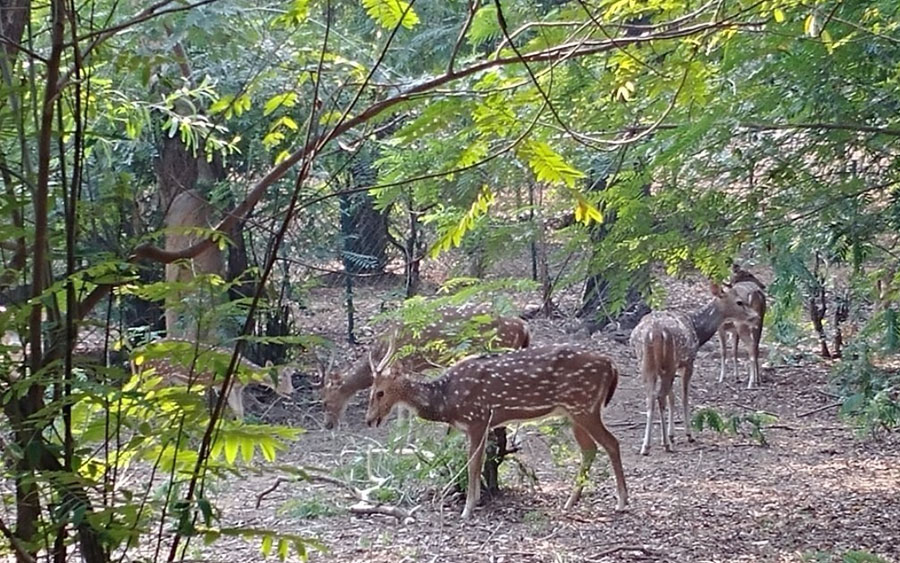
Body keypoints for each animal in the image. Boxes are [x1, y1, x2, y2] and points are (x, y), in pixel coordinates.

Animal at [132, 339, 295, 421]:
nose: (291, 391)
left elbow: (240, 410)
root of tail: (137, 351)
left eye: (291, 377)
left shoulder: (237, 388)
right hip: (157, 377)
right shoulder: (224, 384)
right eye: (280, 379)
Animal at [321, 304, 530, 429]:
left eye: (325, 401)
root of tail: (523, 326)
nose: (328, 425)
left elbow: (403, 409)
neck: (382, 349)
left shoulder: (407, 362)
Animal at [365, 341, 628, 519]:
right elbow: (479, 461)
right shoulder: (480, 425)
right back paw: (571, 502)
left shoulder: (477, 419)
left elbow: (473, 463)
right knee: (590, 448)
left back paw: (622, 502)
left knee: (611, 443)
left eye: (380, 392)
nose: (369, 420)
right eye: (371, 392)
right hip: (573, 412)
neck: (446, 400)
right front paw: (475, 502)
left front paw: (468, 509)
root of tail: (612, 366)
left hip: (584, 406)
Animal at [631, 282, 761, 456]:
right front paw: (688, 435)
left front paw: (672, 434)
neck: (697, 329)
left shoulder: (672, 367)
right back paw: (665, 444)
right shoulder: (688, 361)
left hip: (646, 364)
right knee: (660, 396)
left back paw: (646, 446)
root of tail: (654, 333)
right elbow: (684, 396)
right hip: (669, 361)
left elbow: (672, 397)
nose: (755, 316)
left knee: (651, 398)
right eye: (739, 302)